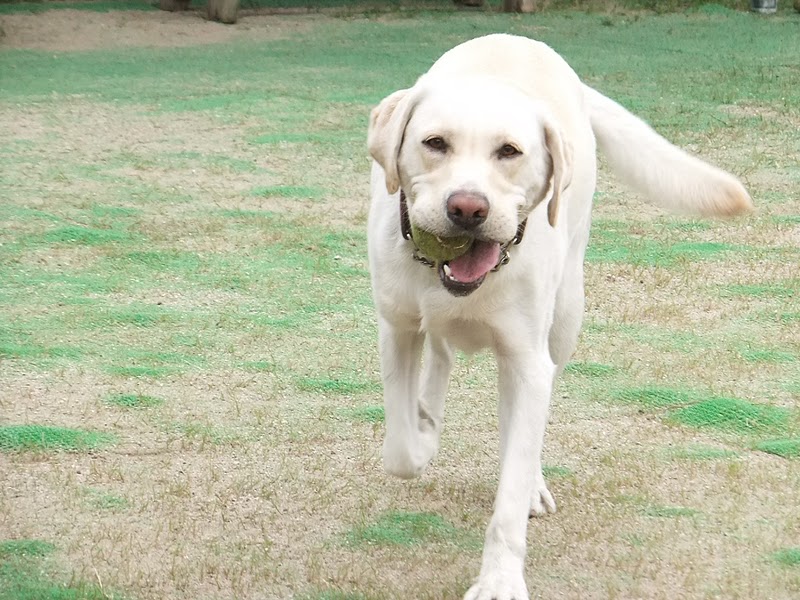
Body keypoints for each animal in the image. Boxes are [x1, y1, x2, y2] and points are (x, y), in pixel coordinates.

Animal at [366, 34, 752, 600]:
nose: (467, 208)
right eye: (434, 143)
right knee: (441, 352)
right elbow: (400, 450)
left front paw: (501, 579)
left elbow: (512, 478)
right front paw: (422, 433)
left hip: (566, 316)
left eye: (509, 151)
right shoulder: (396, 328)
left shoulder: (528, 363)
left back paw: (529, 483)